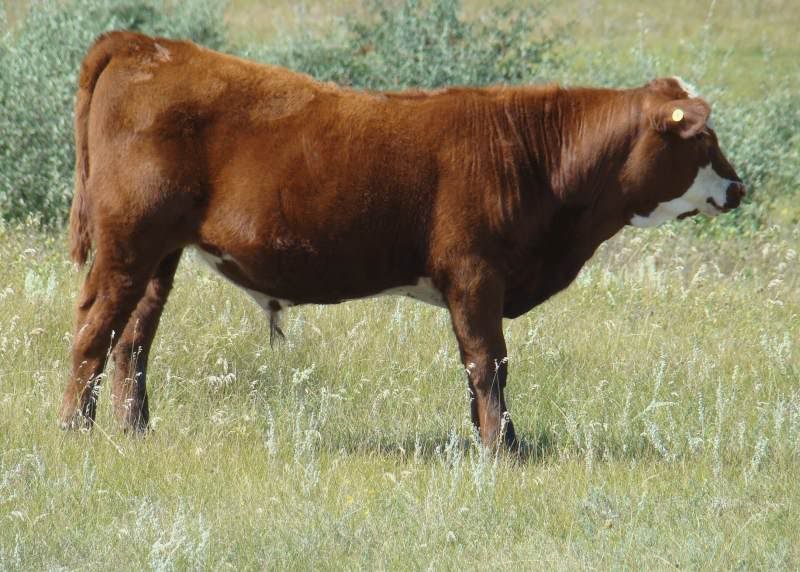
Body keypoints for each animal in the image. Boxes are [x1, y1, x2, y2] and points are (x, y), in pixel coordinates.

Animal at [59, 31, 745, 449]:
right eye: (704, 139)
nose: (739, 186)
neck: (534, 155)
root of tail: (148, 43)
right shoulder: (475, 274)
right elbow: (488, 362)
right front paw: (504, 449)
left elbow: (479, 367)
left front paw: (489, 440)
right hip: (126, 244)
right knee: (94, 329)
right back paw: (75, 432)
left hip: (158, 255)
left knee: (132, 340)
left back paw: (136, 432)